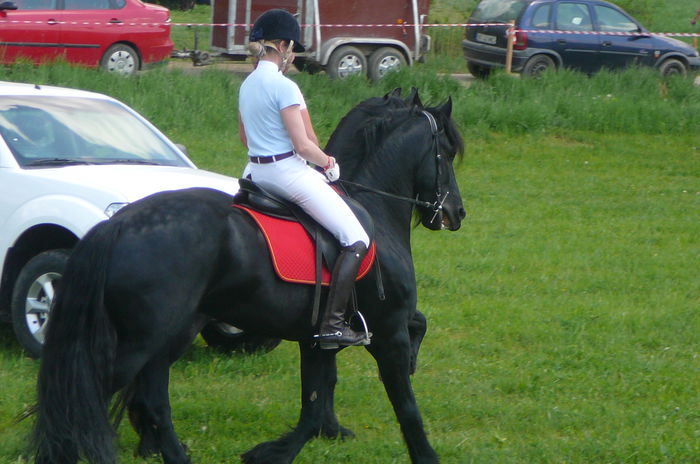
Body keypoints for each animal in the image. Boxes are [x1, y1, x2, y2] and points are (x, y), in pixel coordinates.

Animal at [35, 89, 468, 462]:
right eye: (445, 154)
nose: (456, 213)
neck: (373, 207)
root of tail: (119, 224)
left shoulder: (317, 340)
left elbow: (316, 400)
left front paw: (287, 447)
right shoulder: (387, 330)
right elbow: (405, 401)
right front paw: (425, 454)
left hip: (163, 336)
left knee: (148, 399)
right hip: (144, 340)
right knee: (88, 395)